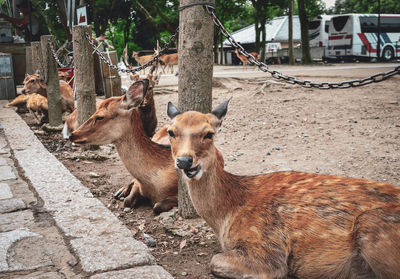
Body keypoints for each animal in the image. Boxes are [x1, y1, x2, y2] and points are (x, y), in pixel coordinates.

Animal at [70, 79, 178, 214]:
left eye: (100, 116)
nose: (72, 135)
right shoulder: (139, 184)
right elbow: (128, 200)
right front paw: (125, 194)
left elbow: (157, 206)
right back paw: (120, 191)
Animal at [166, 100, 400, 279]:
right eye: (171, 132)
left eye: (209, 134)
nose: (185, 161)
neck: (227, 214)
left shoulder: (266, 248)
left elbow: (216, 261)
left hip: (372, 225)